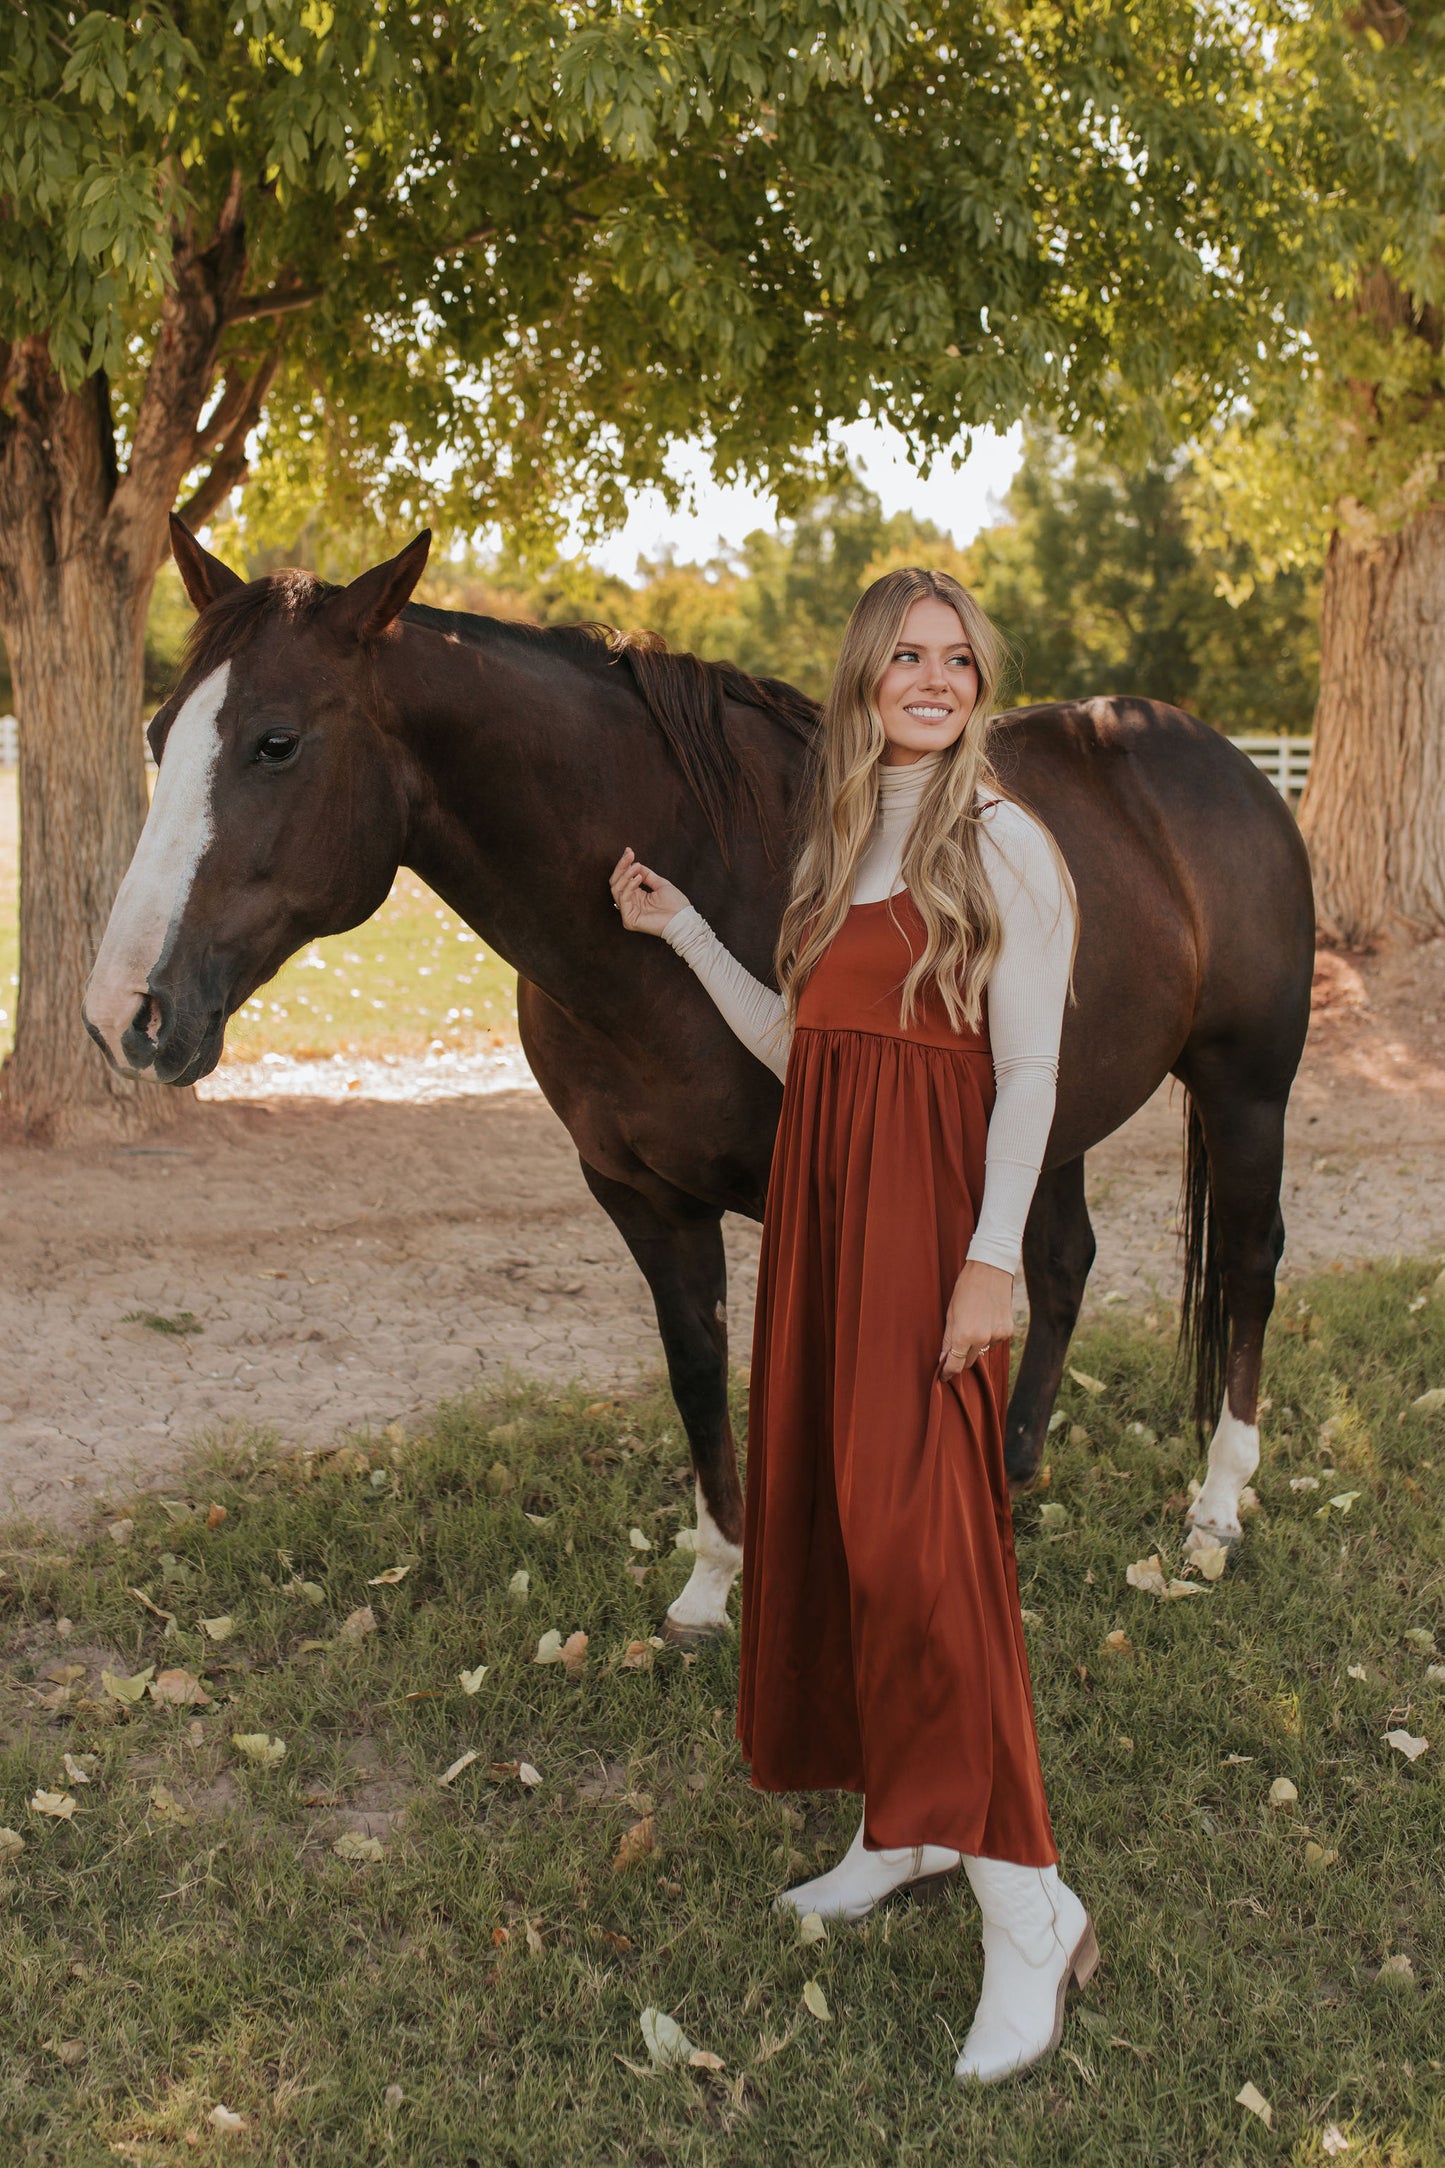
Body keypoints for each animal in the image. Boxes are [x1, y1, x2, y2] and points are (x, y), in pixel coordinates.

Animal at [85, 528, 1317, 1639]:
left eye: (275, 742)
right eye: (157, 733)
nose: (121, 1013)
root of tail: (1216, 761)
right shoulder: (641, 1199)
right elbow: (696, 1373)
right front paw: (712, 1586)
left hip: (1244, 1089)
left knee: (1246, 1266)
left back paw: (1214, 1509)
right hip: (1047, 1108)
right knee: (1058, 1266)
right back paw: (1011, 1476)